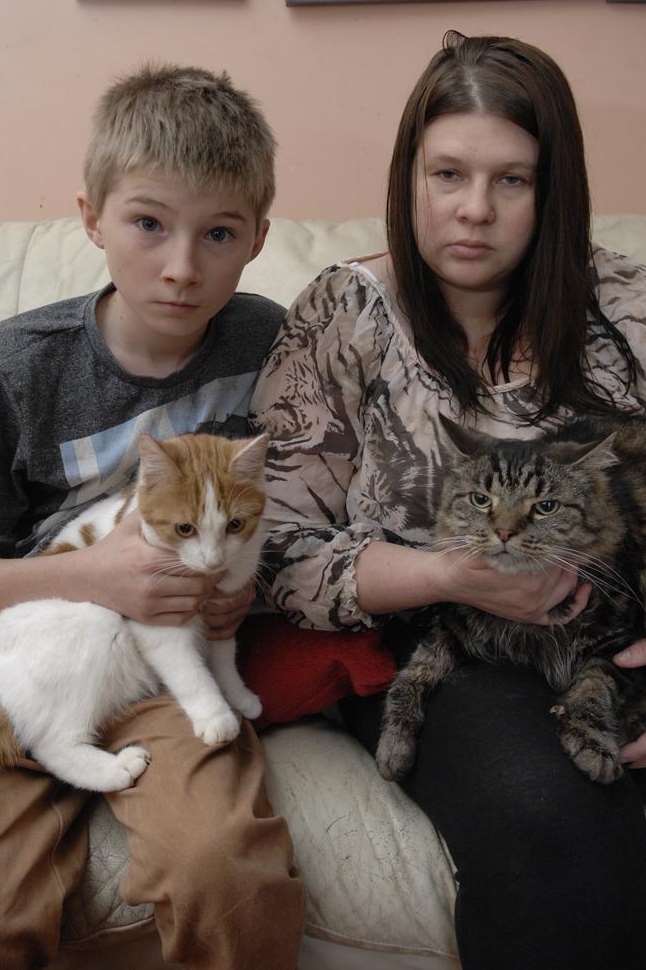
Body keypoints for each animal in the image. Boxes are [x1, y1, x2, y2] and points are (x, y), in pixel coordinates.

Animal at [0, 434, 270, 792]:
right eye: (184, 528)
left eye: (235, 525)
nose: (214, 561)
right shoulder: (156, 623)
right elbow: (190, 673)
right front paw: (215, 716)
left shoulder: (224, 611)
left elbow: (224, 659)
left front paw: (237, 695)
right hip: (95, 622)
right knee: (52, 745)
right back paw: (117, 768)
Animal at [378, 412, 646, 784]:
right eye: (481, 499)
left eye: (546, 507)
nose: (504, 532)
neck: (528, 628)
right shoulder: (453, 626)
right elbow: (411, 676)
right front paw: (393, 744)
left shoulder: (620, 642)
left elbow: (596, 687)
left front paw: (593, 743)